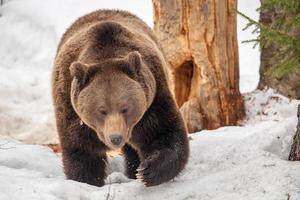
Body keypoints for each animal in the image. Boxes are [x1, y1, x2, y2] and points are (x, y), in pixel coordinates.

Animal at [51, 9, 188, 188]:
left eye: (125, 108)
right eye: (101, 110)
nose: (116, 138)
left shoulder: (153, 99)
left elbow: (164, 134)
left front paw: (146, 171)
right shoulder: (71, 107)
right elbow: (82, 150)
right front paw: (88, 180)